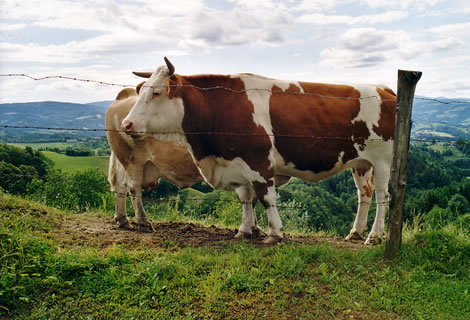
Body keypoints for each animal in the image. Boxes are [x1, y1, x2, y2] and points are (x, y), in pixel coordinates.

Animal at [107, 86, 288, 234]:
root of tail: (126, 95)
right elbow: (251, 198)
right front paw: (252, 227)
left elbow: (253, 198)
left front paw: (254, 227)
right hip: (133, 160)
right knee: (133, 187)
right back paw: (143, 223)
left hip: (126, 160)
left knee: (121, 185)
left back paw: (123, 220)